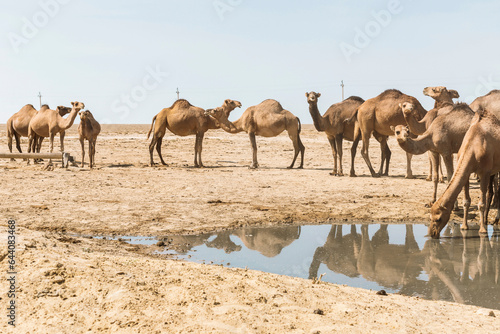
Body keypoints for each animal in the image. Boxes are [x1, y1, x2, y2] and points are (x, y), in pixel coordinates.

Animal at [428, 109, 500, 237]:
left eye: (439, 218)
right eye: (430, 218)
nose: (432, 233)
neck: (473, 147)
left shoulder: (484, 172)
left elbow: (481, 203)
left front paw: (482, 230)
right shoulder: (467, 172)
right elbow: (466, 201)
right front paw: (464, 227)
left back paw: (495, 220)